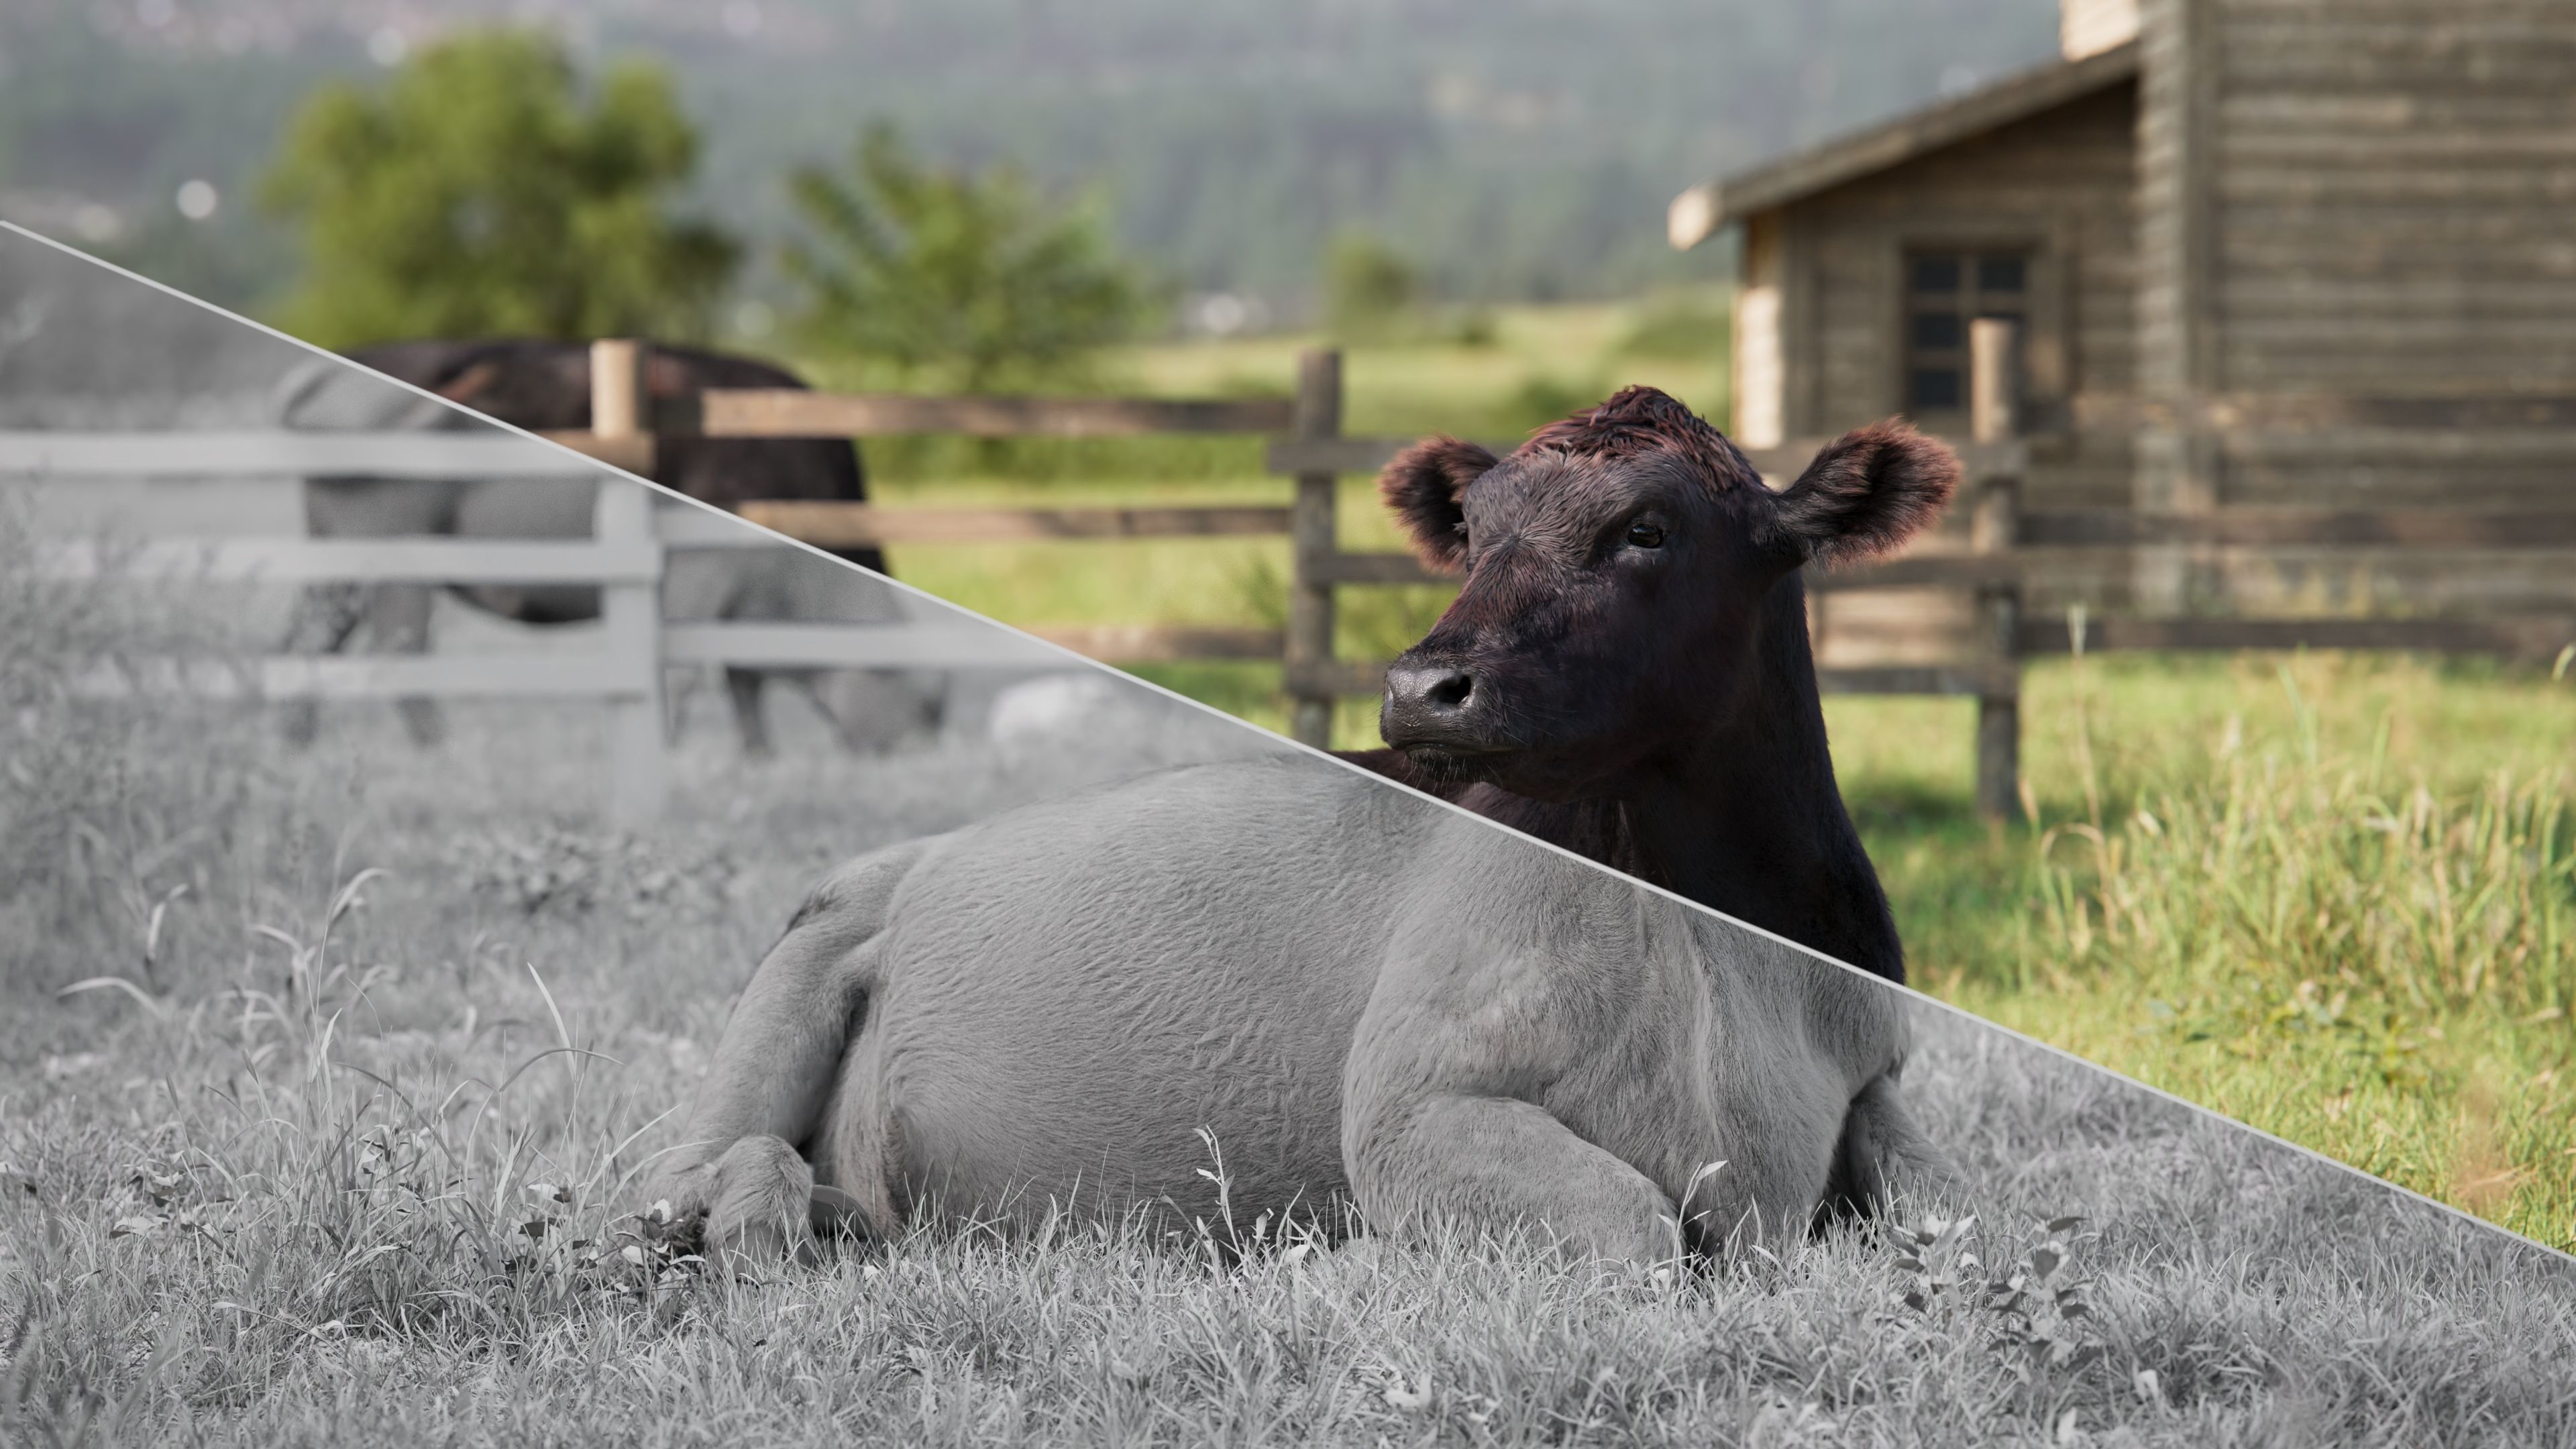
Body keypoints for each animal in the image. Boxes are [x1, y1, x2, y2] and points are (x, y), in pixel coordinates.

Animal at [269, 339, 947, 756]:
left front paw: (759, 757)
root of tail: (326, 375)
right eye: (927, 708)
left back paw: (296, 744)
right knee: (398, 645)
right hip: (393, 552)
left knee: (307, 639)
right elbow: (686, 672)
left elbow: (743, 680)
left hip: (331, 554)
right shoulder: (700, 573)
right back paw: (439, 747)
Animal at [645, 395, 1960, 1270]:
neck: (1709, 943)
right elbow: (1633, 1231)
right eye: (1474, 530)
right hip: (796, 974)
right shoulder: (1411, 1103)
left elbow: (1954, 1214)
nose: (1422, 685)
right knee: (676, 1181)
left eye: (1648, 527)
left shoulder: (1876, 1080)